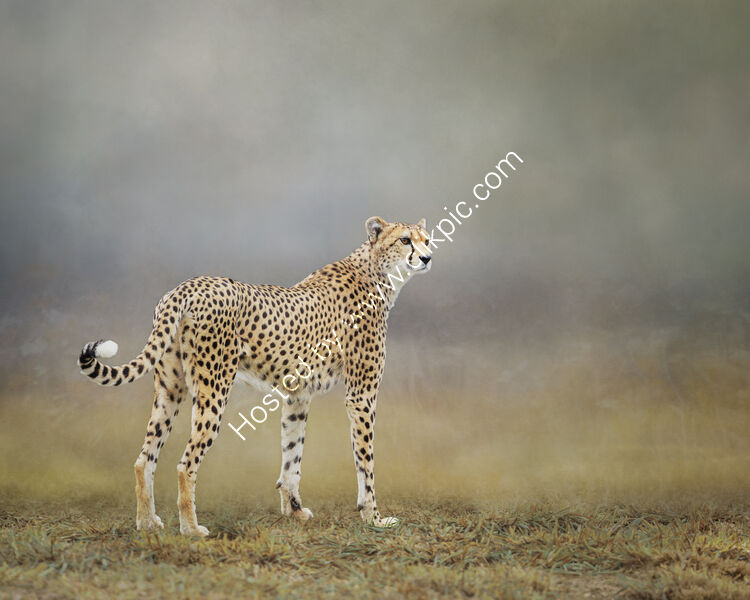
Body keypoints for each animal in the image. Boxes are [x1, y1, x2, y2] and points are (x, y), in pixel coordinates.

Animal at [77, 216, 432, 536]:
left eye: (426, 240)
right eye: (405, 240)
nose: (428, 257)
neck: (377, 271)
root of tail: (187, 285)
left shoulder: (297, 395)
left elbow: (292, 455)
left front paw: (294, 511)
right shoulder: (361, 394)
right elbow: (365, 459)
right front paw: (373, 517)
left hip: (170, 389)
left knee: (144, 459)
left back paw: (146, 523)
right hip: (213, 388)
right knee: (185, 463)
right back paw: (191, 529)